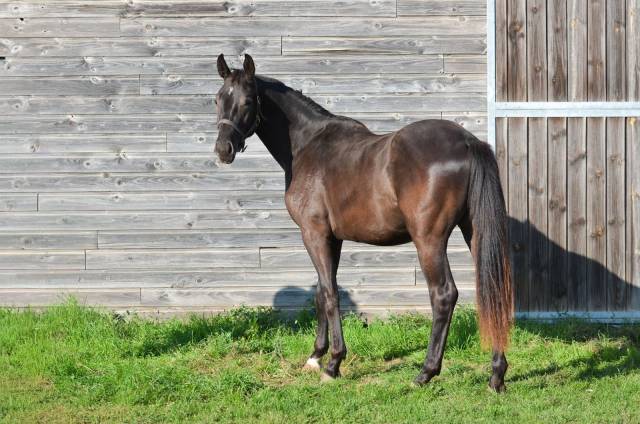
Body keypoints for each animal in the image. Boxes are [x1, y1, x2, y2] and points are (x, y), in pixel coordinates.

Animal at [213, 54, 514, 392]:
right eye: (218, 99)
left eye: (248, 101)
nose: (223, 149)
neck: (307, 145)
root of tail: (467, 142)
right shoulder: (333, 238)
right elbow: (321, 292)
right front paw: (315, 356)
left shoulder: (313, 234)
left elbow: (331, 295)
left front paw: (333, 363)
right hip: (473, 232)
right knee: (492, 290)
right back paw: (496, 374)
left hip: (429, 240)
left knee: (444, 295)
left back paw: (426, 372)